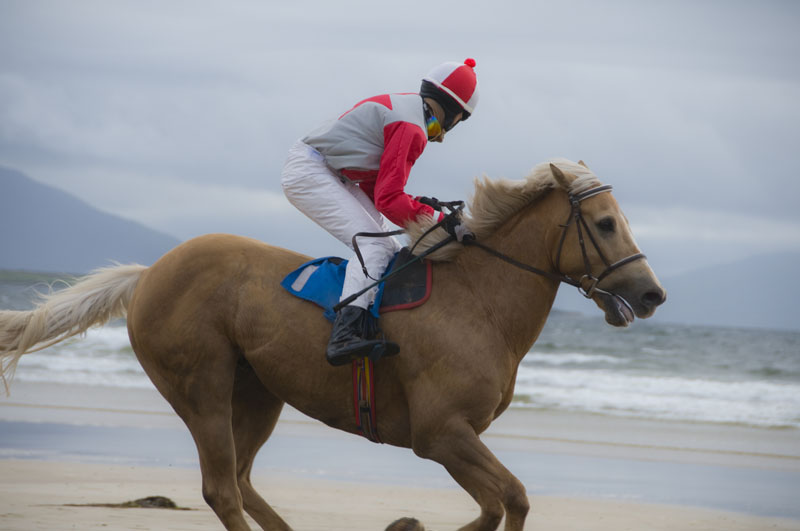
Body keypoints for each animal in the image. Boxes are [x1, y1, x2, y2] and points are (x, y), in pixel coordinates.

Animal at [0, 161, 664, 531]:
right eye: (605, 223)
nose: (651, 293)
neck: (481, 303)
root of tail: (148, 274)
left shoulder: (453, 438)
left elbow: (499, 506)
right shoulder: (440, 434)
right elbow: (513, 499)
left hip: (257, 392)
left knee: (241, 480)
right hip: (202, 386)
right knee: (221, 488)